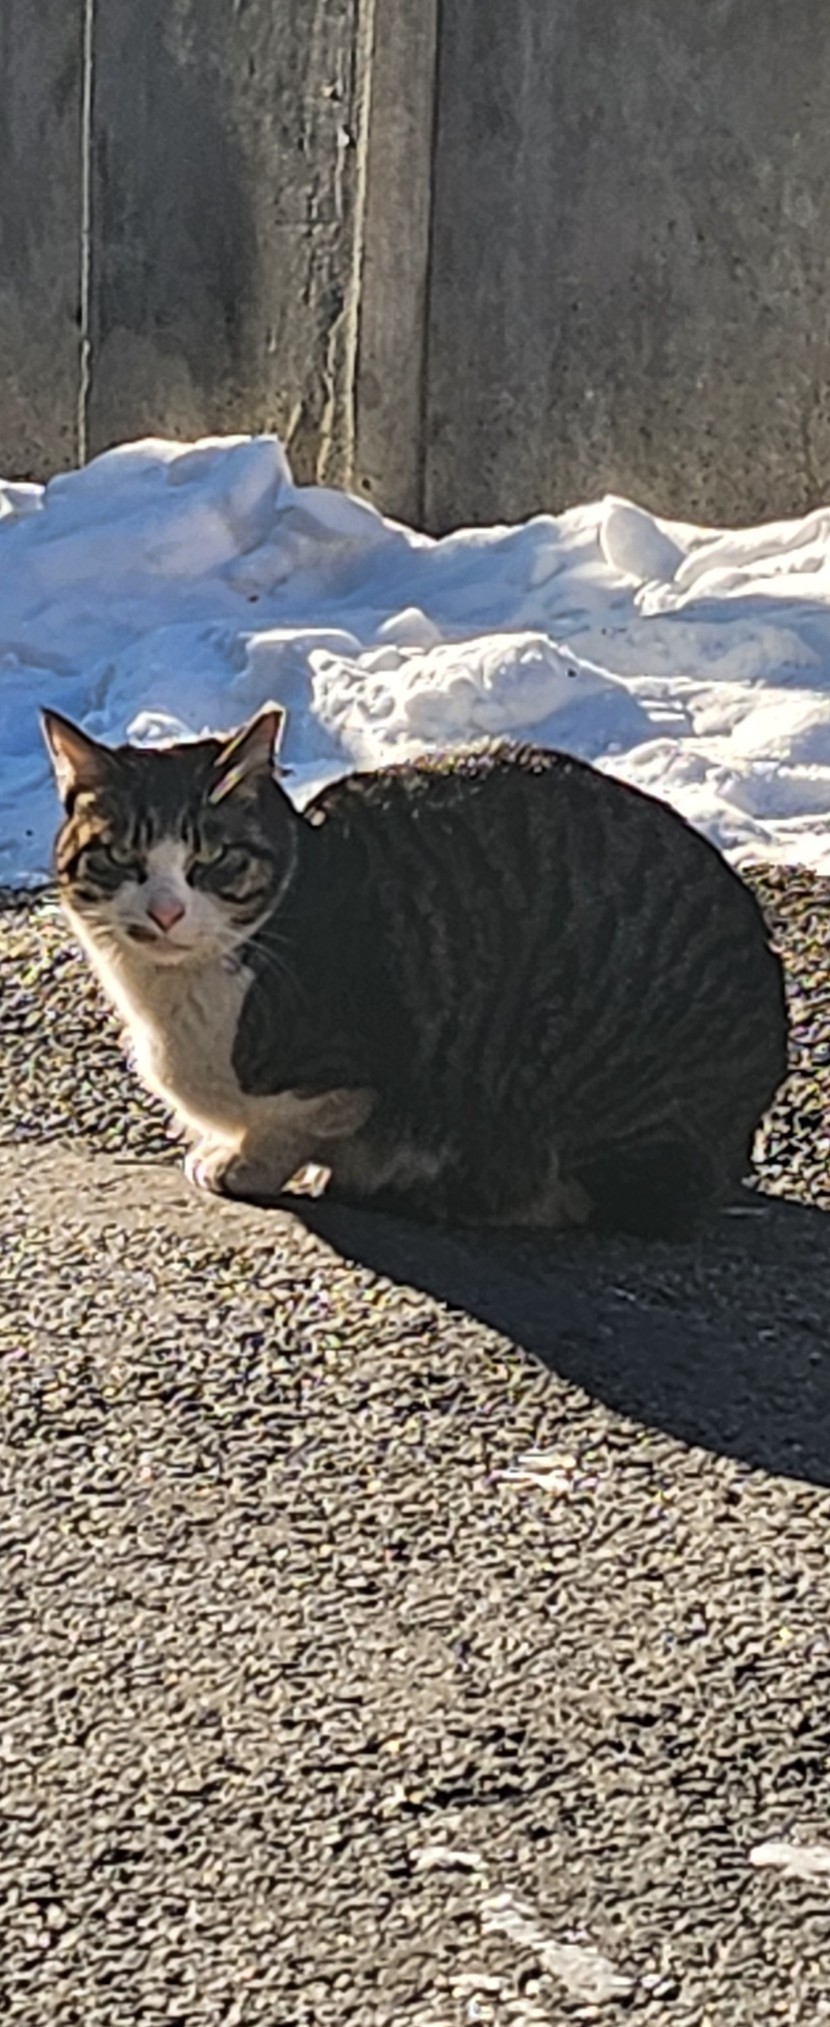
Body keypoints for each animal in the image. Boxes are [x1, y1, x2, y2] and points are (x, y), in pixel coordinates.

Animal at [42, 703, 788, 1238]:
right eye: (122, 858)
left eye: (213, 859)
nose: (166, 911)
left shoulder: (346, 1068)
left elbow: (292, 1125)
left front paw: (241, 1164)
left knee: (612, 1200)